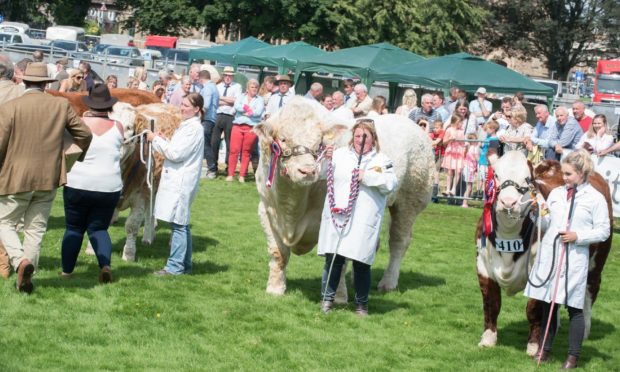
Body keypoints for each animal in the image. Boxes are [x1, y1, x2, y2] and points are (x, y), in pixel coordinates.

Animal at [254, 98, 434, 296]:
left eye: (319, 143)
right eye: (283, 138)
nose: (308, 171)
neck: (292, 206)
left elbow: (339, 259)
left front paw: (339, 296)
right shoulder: (267, 210)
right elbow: (279, 253)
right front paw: (275, 288)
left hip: (410, 202)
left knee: (399, 241)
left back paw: (388, 282)